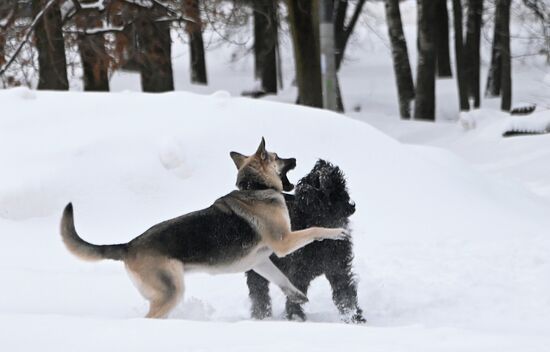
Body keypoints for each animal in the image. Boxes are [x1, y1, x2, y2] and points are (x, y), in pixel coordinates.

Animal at [59, 138, 344, 320]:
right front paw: (337, 231)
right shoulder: (284, 242)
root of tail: (128, 245)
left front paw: (296, 296)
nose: (294, 158)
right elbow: (315, 229)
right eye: (277, 157)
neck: (254, 188)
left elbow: (282, 279)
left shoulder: (260, 261)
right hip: (171, 292)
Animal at [247, 159, 366, 322]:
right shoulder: (299, 272)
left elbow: (345, 293)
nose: (351, 206)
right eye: (330, 188)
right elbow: (296, 293)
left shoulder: (338, 267)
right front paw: (295, 316)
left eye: (341, 185)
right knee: (258, 289)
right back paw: (261, 316)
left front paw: (354, 317)